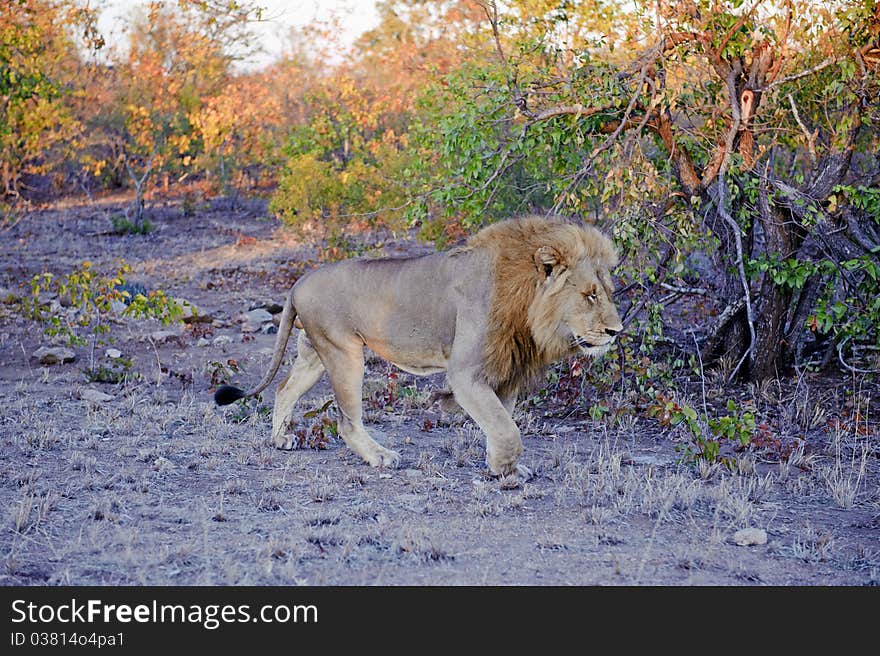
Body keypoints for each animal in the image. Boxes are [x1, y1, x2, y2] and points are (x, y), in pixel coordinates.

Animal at [214, 215, 624, 476]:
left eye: (607, 292)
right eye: (589, 295)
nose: (616, 331)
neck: (526, 305)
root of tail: (299, 281)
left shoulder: (504, 371)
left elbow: (501, 423)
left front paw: (501, 467)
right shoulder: (465, 374)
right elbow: (507, 429)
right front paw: (505, 473)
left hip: (315, 352)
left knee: (284, 388)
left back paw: (280, 438)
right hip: (344, 353)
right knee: (346, 420)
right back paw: (380, 457)